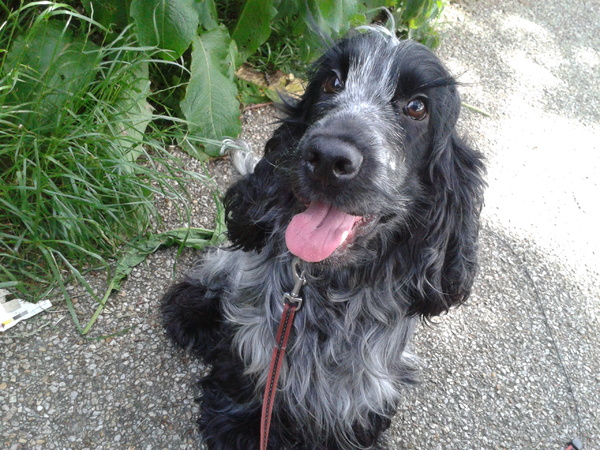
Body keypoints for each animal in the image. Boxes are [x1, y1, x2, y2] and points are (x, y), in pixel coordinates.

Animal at [162, 29, 486, 450]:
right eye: (332, 82)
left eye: (417, 107)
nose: (329, 157)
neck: (329, 287)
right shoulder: (261, 332)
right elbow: (252, 366)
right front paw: (242, 423)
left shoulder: (368, 378)